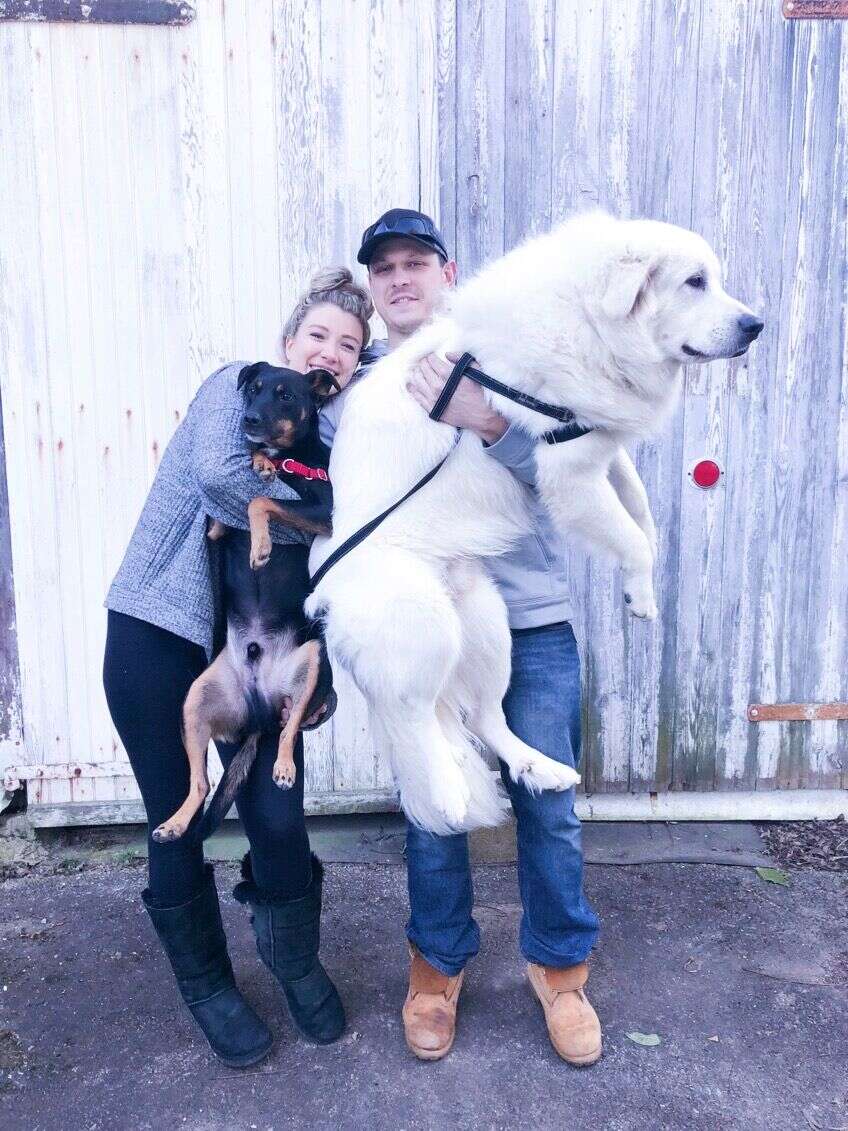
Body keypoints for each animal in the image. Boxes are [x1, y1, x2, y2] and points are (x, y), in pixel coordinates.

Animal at [152, 361, 339, 841]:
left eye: (285, 395)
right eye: (251, 389)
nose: (248, 420)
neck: (293, 458)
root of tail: (260, 713)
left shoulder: (325, 513)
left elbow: (258, 500)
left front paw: (261, 547)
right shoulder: (218, 525)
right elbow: (235, 506)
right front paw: (260, 463)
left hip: (311, 661)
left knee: (290, 731)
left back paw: (285, 768)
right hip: (195, 702)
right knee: (201, 783)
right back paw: (175, 824)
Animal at [309, 210, 768, 832]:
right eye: (694, 282)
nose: (756, 325)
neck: (589, 321)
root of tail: (325, 591)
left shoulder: (597, 446)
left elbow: (641, 508)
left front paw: (641, 590)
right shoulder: (568, 475)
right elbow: (633, 538)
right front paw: (639, 592)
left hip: (484, 618)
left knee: (484, 717)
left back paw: (540, 767)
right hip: (424, 624)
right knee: (417, 714)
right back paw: (448, 792)